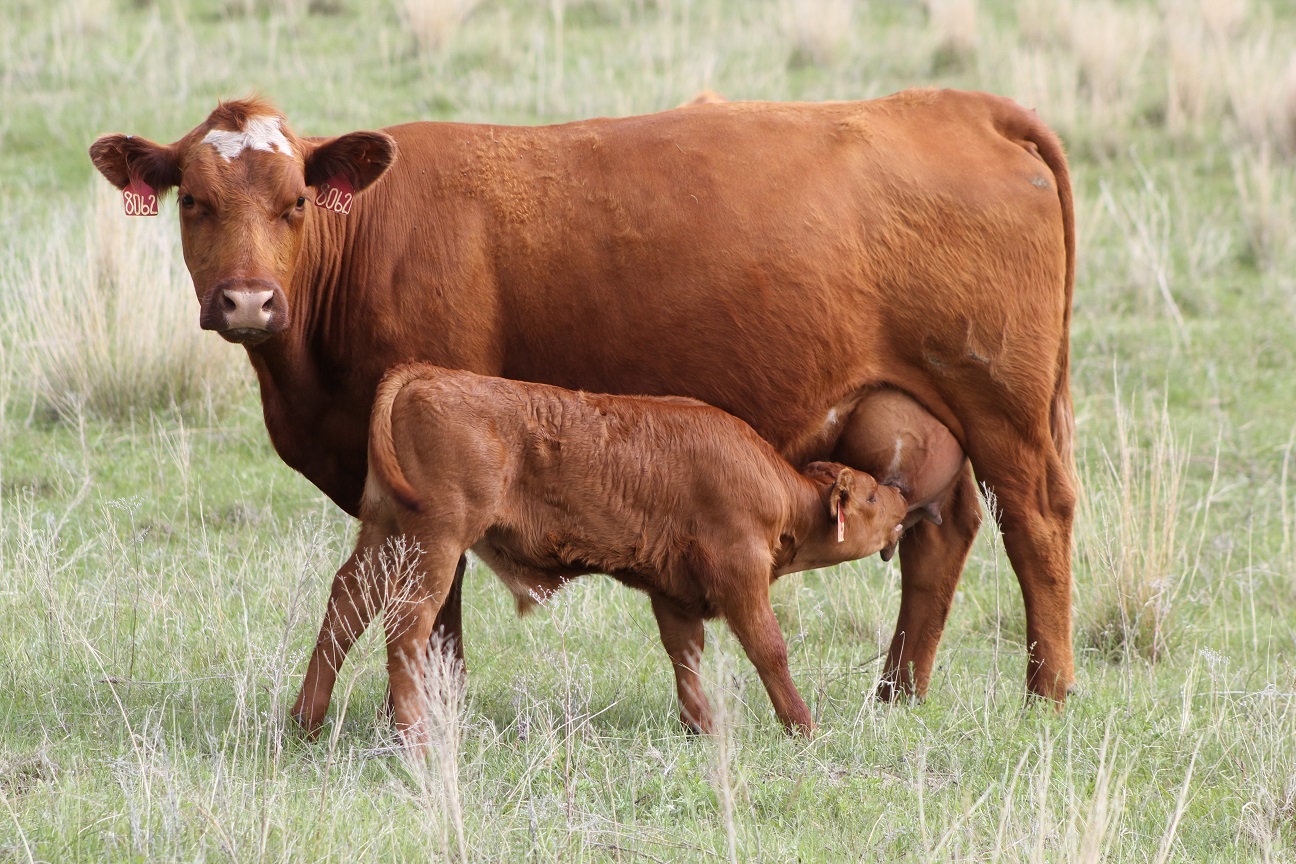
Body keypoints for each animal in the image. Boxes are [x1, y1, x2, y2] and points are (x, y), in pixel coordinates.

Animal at [290, 365, 907, 746]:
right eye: (871, 496)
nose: (903, 495)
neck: (775, 488)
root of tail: (429, 373)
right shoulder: (740, 576)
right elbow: (769, 649)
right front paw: (803, 727)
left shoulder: (674, 594)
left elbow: (687, 657)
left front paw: (702, 728)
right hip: (434, 545)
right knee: (407, 626)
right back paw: (414, 738)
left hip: (384, 535)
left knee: (346, 605)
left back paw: (306, 722)